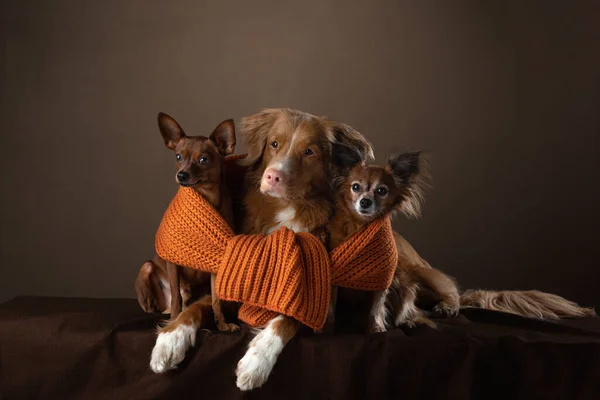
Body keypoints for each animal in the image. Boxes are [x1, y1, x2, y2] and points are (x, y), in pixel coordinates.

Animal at [136, 111, 239, 332]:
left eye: (203, 159)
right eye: (178, 157)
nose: (181, 174)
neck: (206, 198)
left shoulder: (215, 267)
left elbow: (217, 300)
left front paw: (222, 323)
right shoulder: (173, 263)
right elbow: (176, 297)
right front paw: (175, 321)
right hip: (148, 269)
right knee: (165, 300)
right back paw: (167, 312)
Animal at [328, 147, 460, 332]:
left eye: (382, 191)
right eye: (355, 187)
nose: (365, 201)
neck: (360, 226)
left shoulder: (384, 277)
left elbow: (377, 307)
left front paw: (376, 328)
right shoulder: (334, 277)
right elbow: (331, 306)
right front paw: (327, 328)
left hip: (420, 272)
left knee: (448, 290)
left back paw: (445, 307)